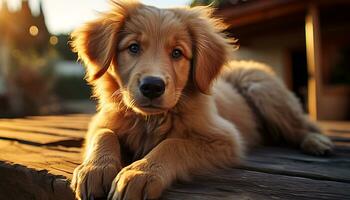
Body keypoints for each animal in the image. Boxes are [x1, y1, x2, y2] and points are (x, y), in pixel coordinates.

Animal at [69, 0, 334, 199]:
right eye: (133, 47)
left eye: (177, 53)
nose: (152, 86)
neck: (150, 120)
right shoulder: (102, 121)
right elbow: (104, 134)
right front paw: (95, 169)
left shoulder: (225, 138)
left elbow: (174, 144)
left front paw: (141, 173)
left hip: (261, 88)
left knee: (301, 125)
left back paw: (316, 142)